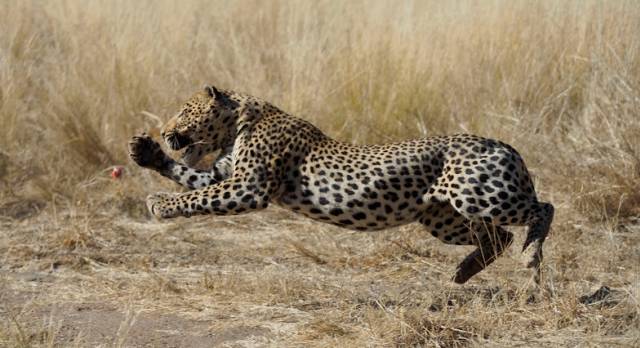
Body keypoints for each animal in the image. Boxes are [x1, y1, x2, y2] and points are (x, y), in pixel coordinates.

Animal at [127, 85, 552, 284]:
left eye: (184, 111)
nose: (165, 132)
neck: (237, 125)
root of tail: (503, 144)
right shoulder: (225, 176)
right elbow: (193, 180)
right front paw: (145, 152)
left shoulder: (248, 187)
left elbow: (198, 196)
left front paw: (160, 204)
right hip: (440, 216)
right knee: (498, 237)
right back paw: (464, 271)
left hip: (480, 196)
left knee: (542, 209)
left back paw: (531, 254)